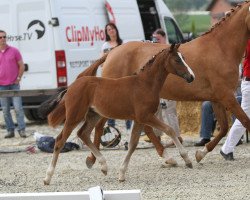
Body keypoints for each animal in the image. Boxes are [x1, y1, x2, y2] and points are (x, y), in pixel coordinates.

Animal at [42, 43, 195, 184]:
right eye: (177, 60)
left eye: (184, 58)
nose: (191, 77)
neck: (145, 84)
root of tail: (71, 87)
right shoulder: (145, 116)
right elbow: (169, 130)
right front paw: (187, 159)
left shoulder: (139, 119)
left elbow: (133, 144)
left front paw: (121, 174)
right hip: (74, 116)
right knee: (60, 140)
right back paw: (48, 177)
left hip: (93, 115)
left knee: (83, 133)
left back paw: (103, 165)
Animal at [84, 0, 250, 165]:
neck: (220, 48)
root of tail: (111, 52)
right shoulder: (226, 96)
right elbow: (244, 121)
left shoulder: (217, 98)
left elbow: (224, 128)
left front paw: (200, 154)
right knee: (99, 126)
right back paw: (93, 158)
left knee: (145, 128)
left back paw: (167, 156)